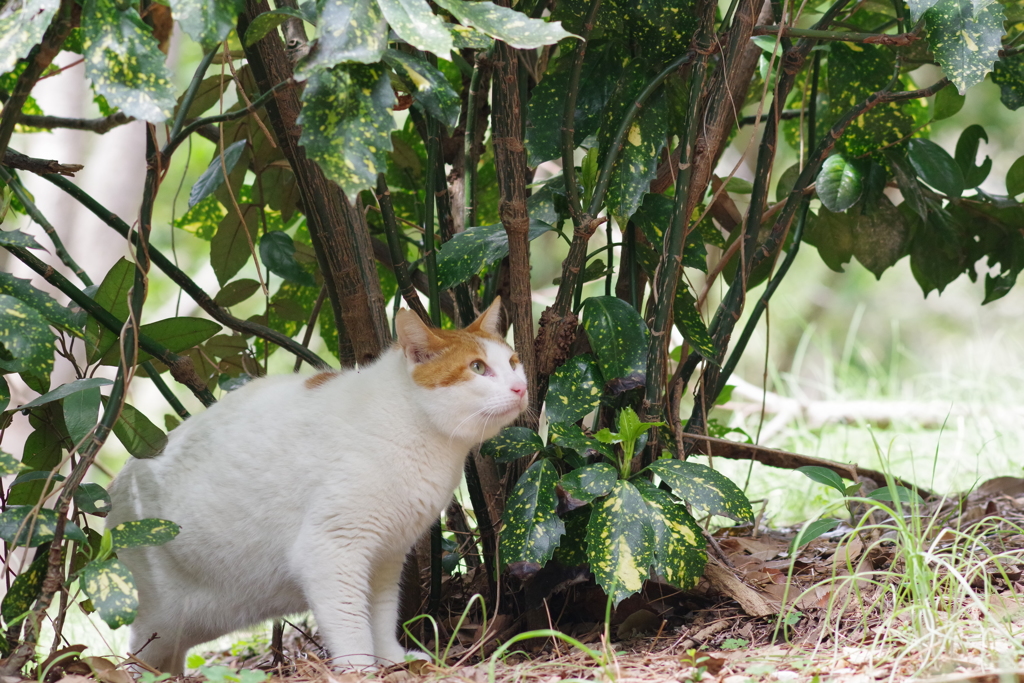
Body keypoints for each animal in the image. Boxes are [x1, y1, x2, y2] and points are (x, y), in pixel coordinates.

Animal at [108, 301, 528, 671]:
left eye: (512, 363)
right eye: (477, 368)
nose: (521, 389)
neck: (416, 426)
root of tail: (116, 486)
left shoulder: (386, 557)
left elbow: (381, 616)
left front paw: (392, 661)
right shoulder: (332, 551)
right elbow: (350, 623)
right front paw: (360, 669)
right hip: (160, 619)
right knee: (136, 655)